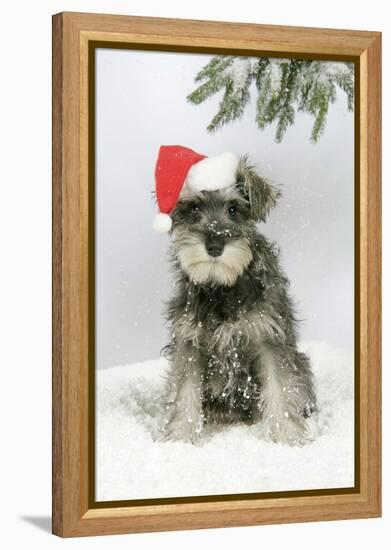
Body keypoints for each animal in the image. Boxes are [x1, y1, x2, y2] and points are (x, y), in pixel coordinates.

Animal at [161, 156, 316, 448]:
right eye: (194, 208)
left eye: (234, 209)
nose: (214, 246)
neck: (221, 288)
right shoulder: (189, 343)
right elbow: (184, 393)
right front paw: (180, 439)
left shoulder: (268, 339)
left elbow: (280, 390)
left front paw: (288, 438)